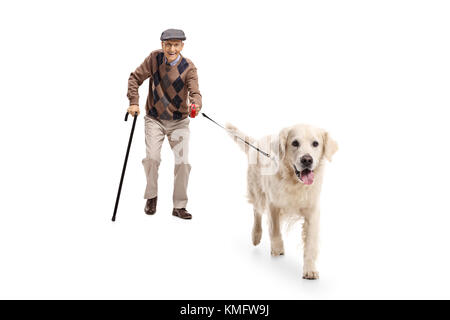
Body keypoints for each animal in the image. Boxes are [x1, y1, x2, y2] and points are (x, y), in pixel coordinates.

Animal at [227, 124, 336, 278]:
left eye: (315, 143)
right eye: (295, 143)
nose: (307, 160)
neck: (294, 183)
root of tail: (257, 142)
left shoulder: (312, 211)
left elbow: (310, 243)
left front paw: (310, 269)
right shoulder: (273, 204)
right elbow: (275, 230)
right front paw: (278, 249)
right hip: (257, 191)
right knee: (256, 212)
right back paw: (256, 235)